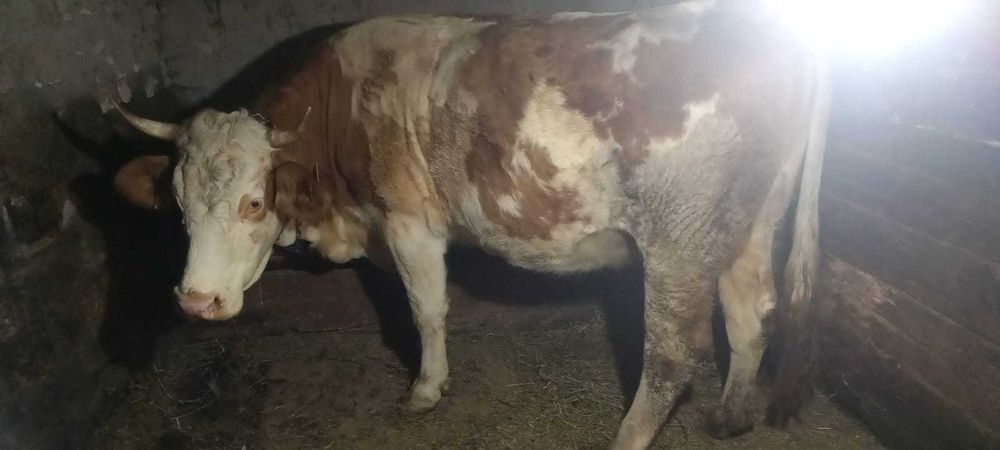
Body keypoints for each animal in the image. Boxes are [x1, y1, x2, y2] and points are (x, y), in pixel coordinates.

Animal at [111, 1, 828, 448]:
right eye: (179, 205)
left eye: (253, 203)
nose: (196, 302)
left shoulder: (407, 220)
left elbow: (426, 311)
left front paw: (426, 390)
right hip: (748, 223)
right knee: (752, 312)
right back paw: (730, 417)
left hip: (679, 239)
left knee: (672, 354)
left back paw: (625, 438)